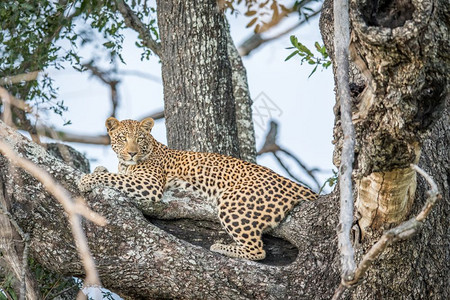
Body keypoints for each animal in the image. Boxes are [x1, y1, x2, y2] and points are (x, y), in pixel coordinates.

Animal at [79, 117, 318, 260]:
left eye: (139, 138)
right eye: (122, 138)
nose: (132, 153)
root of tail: (294, 185)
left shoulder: (149, 184)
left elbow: (113, 177)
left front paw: (86, 179)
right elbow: (114, 173)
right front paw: (98, 169)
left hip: (232, 202)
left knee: (258, 251)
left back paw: (221, 247)